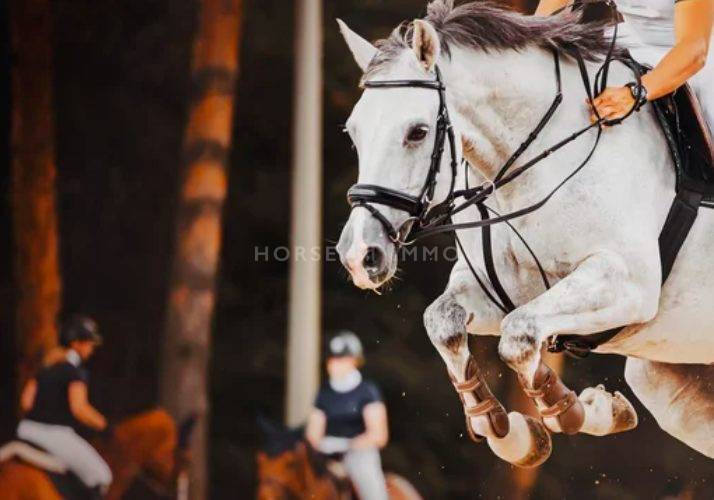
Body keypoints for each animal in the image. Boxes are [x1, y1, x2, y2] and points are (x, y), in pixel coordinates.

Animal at [335, 0, 714, 467]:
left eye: (417, 132)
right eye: (353, 132)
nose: (359, 254)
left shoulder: (628, 285)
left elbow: (518, 336)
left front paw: (564, 409)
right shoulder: (500, 289)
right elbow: (443, 323)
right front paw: (511, 428)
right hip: (669, 384)